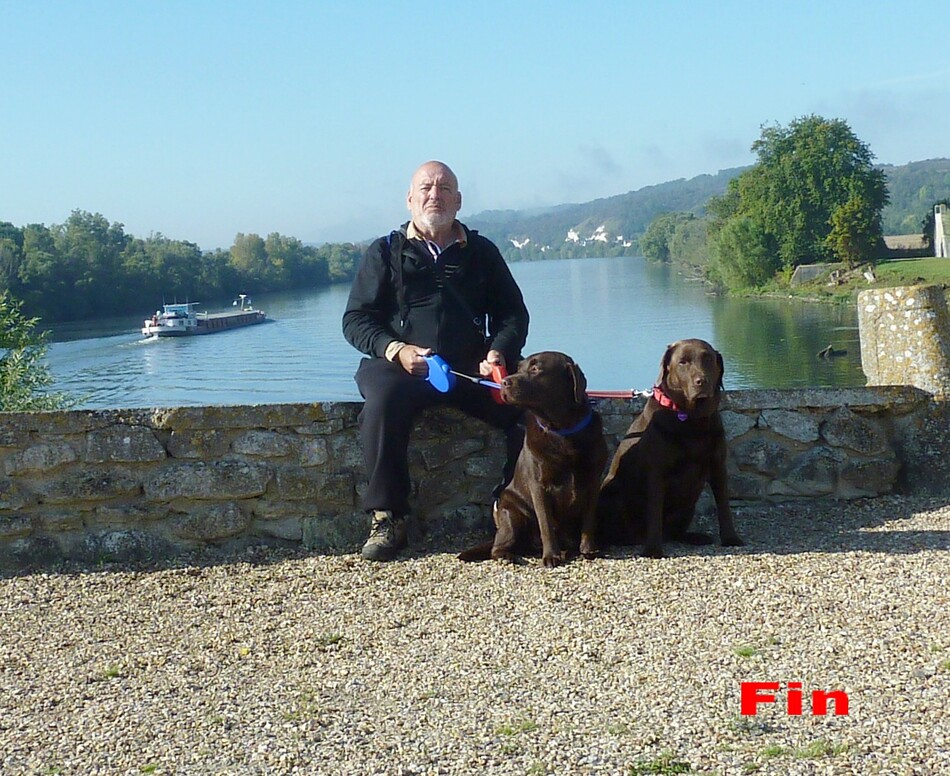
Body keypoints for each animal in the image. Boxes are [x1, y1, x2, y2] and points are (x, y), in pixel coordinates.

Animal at [462, 350, 608, 564]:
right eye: (519, 368)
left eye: (535, 369)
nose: (504, 381)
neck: (562, 430)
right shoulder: (539, 485)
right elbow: (545, 522)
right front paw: (551, 556)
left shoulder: (593, 479)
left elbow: (589, 519)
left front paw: (589, 550)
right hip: (512, 513)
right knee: (498, 547)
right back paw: (508, 555)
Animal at [600, 340, 748, 556]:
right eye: (682, 362)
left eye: (708, 358)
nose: (701, 381)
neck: (691, 417)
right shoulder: (656, 471)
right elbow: (654, 511)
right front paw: (653, 549)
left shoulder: (718, 466)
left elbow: (724, 506)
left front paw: (731, 538)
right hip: (612, 492)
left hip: (688, 505)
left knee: (675, 532)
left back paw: (694, 536)